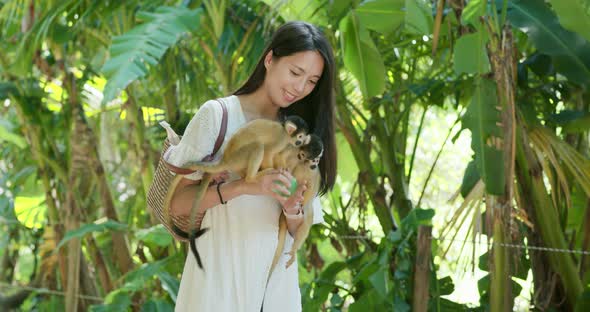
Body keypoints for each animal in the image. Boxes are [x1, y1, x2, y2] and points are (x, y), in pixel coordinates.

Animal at [170, 116, 312, 270]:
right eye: (300, 137)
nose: (301, 142)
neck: (285, 132)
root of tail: (225, 159)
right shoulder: (281, 139)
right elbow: (269, 151)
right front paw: (274, 171)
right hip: (239, 157)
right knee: (258, 146)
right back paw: (253, 177)